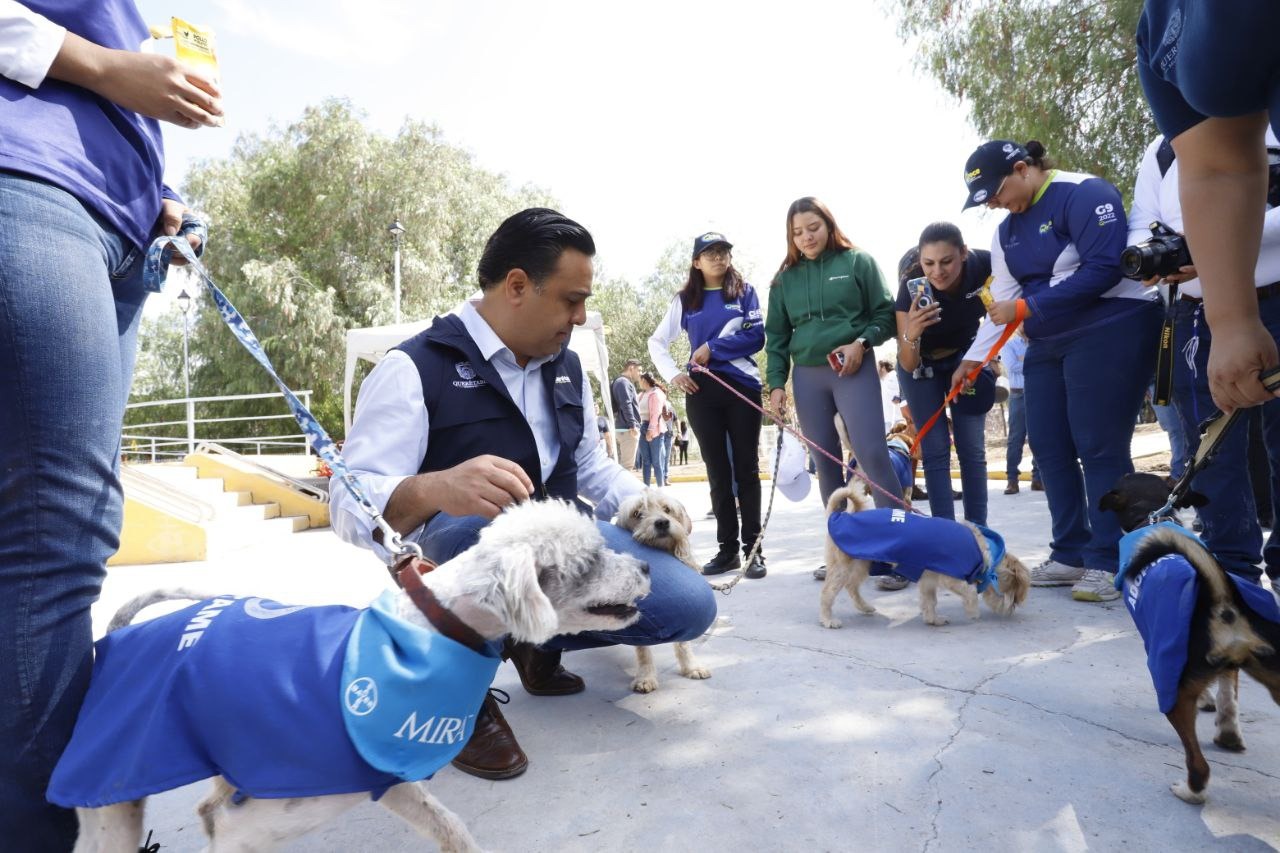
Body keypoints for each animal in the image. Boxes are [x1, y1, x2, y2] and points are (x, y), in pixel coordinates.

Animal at [609, 491, 711, 691]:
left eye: (667, 509)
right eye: (637, 513)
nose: (662, 523)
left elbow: (683, 644)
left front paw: (691, 667)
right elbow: (643, 650)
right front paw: (645, 677)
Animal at [819, 481, 1029, 627]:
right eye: (1013, 592)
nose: (1012, 609)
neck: (982, 550)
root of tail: (838, 516)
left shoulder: (928, 580)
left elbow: (930, 601)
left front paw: (933, 619)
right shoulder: (950, 577)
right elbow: (969, 591)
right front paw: (972, 611)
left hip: (861, 565)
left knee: (852, 587)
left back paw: (864, 606)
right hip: (843, 569)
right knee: (827, 594)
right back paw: (828, 619)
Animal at [1100, 471, 1280, 804]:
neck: (1152, 516)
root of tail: (1221, 603)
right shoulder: (1230, 670)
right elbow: (1227, 695)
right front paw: (1226, 726)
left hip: (1175, 692)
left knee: (1199, 766)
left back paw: (1189, 791)